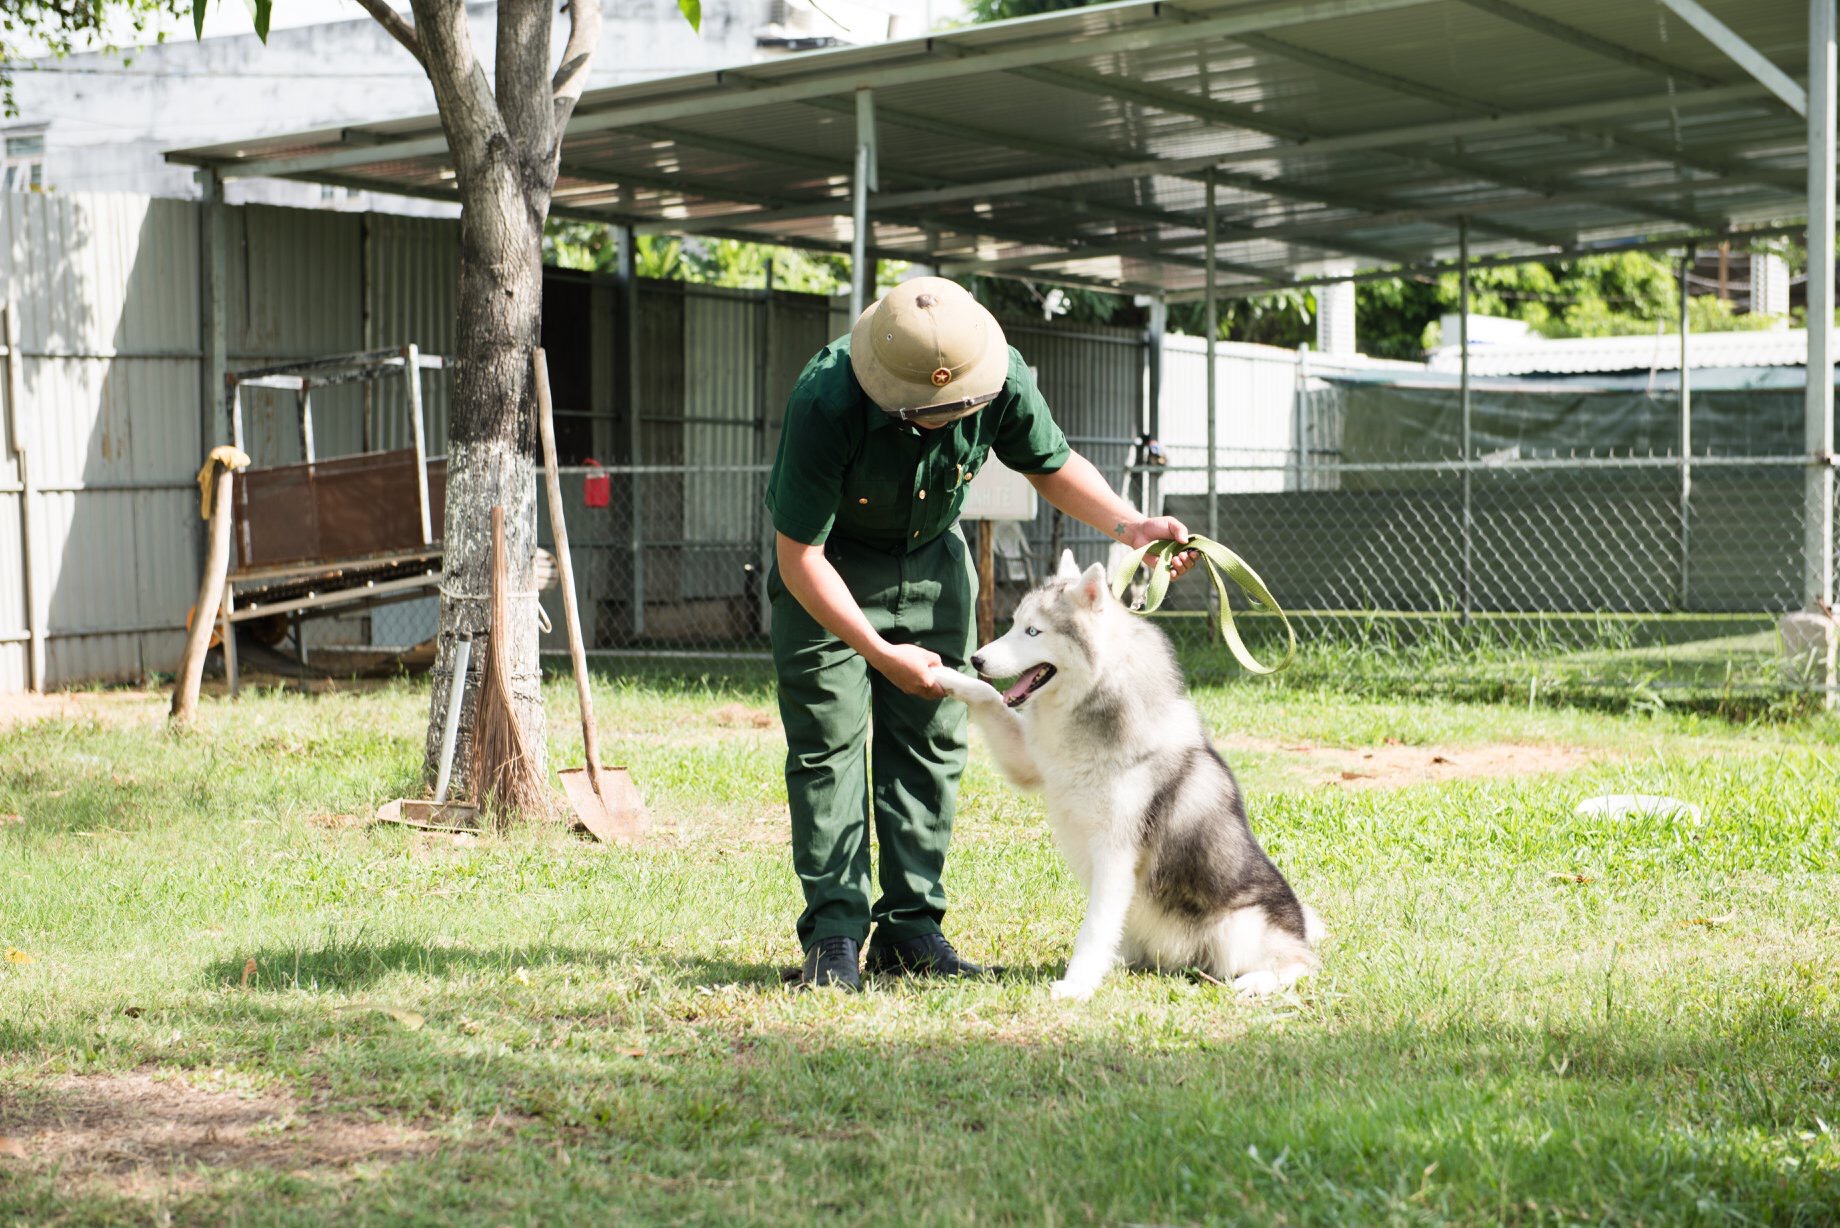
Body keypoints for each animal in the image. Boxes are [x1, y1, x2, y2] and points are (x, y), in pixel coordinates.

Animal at [934, 548, 1324, 1001]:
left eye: (1033, 631)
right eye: (1014, 625)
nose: (977, 658)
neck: (1091, 705)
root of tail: (1299, 927)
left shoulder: (1115, 850)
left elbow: (1093, 929)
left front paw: (1076, 985)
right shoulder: (1029, 762)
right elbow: (988, 697)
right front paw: (940, 672)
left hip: (1238, 927)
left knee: (1301, 965)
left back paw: (1257, 980)